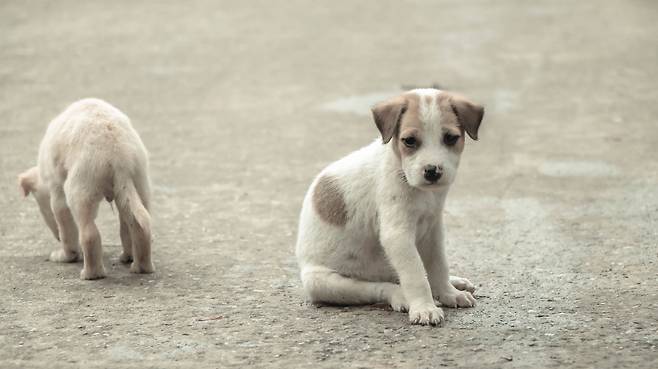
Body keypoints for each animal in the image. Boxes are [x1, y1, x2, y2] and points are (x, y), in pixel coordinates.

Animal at [18, 98, 154, 278]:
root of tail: (118, 155)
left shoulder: (57, 192)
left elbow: (66, 228)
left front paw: (65, 256)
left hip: (80, 187)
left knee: (89, 233)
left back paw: (90, 274)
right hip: (137, 182)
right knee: (135, 224)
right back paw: (136, 264)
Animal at [294, 87, 484, 324]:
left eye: (450, 138)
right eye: (409, 141)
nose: (432, 171)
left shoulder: (433, 231)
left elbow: (439, 266)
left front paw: (449, 293)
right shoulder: (397, 235)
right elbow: (416, 277)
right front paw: (424, 308)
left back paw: (455, 282)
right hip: (325, 283)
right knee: (383, 287)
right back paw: (402, 297)